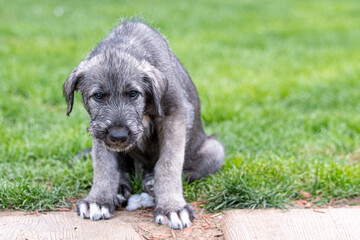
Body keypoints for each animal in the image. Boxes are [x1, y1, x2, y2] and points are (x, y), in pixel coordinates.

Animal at [63, 19, 224, 229]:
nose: (118, 136)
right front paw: (98, 200)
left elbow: (169, 163)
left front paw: (172, 207)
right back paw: (120, 189)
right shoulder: (98, 130)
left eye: (133, 93)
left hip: (215, 149)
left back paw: (151, 184)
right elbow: (103, 164)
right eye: (98, 96)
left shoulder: (175, 115)